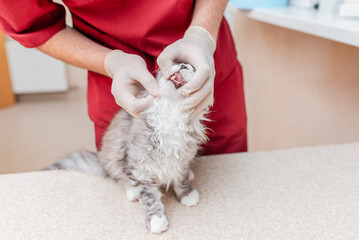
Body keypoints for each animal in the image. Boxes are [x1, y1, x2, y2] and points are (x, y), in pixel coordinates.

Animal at [48, 62, 211, 233]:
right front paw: (156, 219)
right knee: (122, 178)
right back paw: (133, 192)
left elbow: (181, 179)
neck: (171, 114)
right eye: (174, 63)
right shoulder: (138, 166)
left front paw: (186, 195)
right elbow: (149, 197)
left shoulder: (182, 158)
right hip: (114, 158)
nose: (182, 64)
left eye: (190, 67)